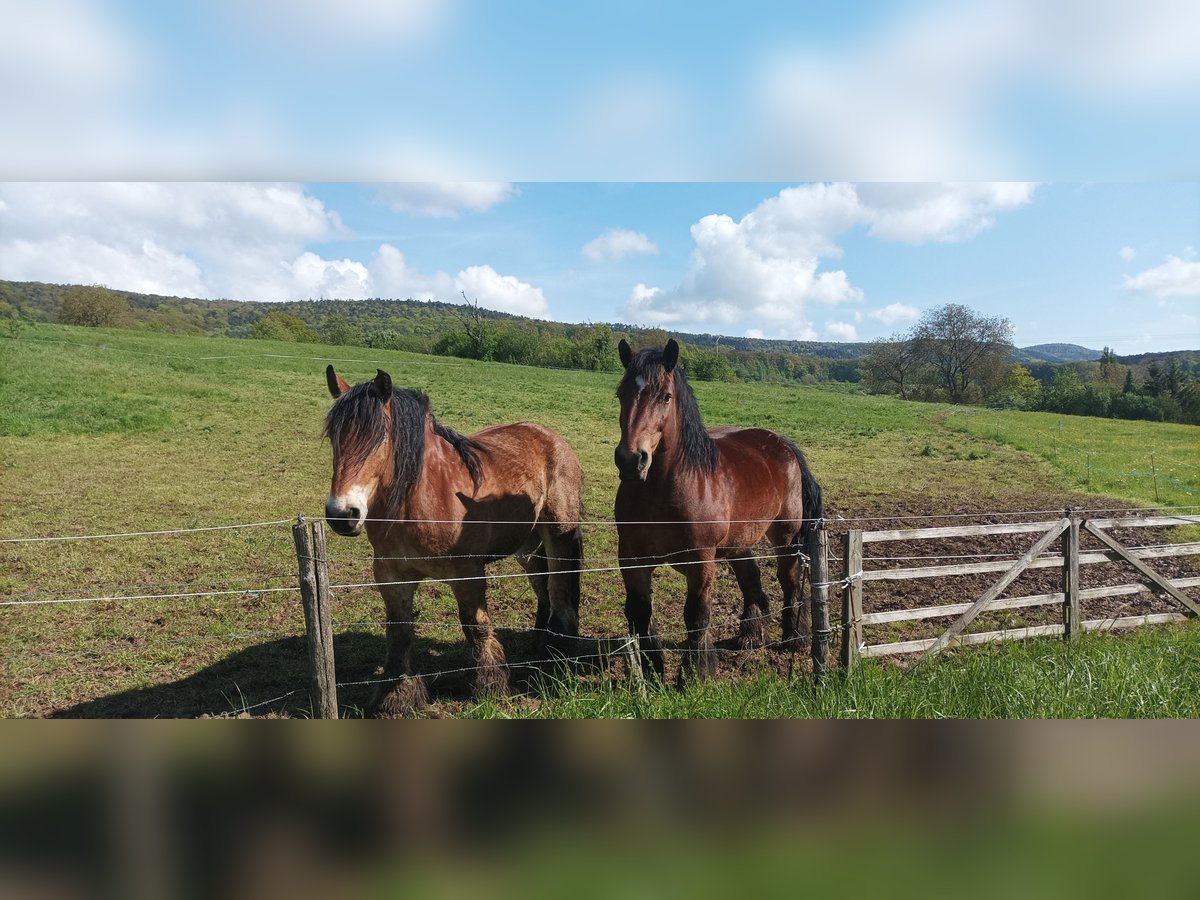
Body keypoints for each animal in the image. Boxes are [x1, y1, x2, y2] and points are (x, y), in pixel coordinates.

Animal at [319, 367, 580, 720]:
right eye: (334, 438)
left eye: (380, 438)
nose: (341, 514)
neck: (420, 499)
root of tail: (551, 437)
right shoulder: (392, 576)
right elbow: (399, 633)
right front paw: (396, 695)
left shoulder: (467, 572)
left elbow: (475, 626)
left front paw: (490, 685)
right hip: (527, 544)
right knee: (543, 587)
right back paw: (539, 645)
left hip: (558, 532)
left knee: (560, 589)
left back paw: (557, 655)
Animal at [614, 340, 820, 681]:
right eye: (620, 393)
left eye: (665, 396)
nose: (631, 460)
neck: (664, 490)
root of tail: (782, 444)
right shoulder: (632, 560)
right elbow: (640, 613)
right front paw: (653, 669)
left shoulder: (701, 561)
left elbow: (697, 615)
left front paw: (696, 673)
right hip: (739, 541)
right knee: (750, 577)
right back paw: (751, 635)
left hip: (786, 536)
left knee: (789, 579)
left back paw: (795, 637)